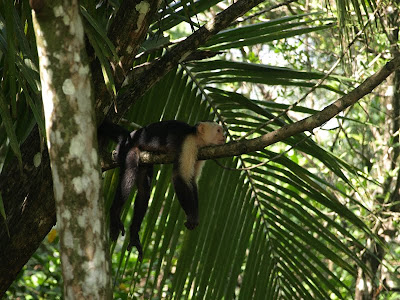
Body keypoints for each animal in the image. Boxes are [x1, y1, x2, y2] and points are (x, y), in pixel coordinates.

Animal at [99, 120, 227, 260]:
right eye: (218, 130)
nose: (224, 136)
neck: (197, 138)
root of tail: (131, 135)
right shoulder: (188, 144)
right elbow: (179, 177)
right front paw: (192, 217)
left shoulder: (200, 152)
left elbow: (192, 181)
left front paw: (195, 214)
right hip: (126, 148)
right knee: (130, 170)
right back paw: (114, 213)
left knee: (144, 191)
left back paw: (134, 235)